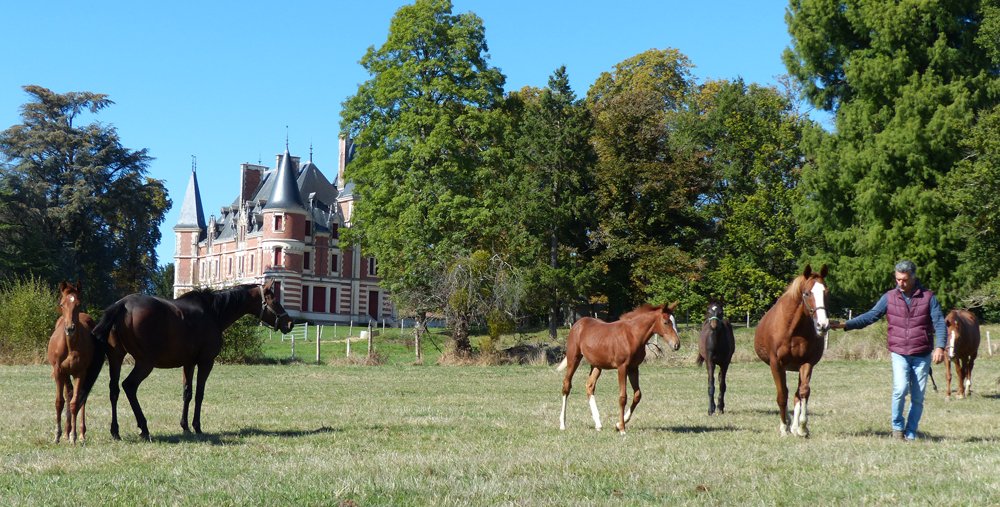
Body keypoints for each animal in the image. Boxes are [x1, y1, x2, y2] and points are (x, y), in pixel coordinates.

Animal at [45, 280, 96, 443]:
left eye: (78, 304)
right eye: (62, 304)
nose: (70, 328)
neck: (69, 345)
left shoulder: (80, 372)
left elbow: (75, 403)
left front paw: (73, 437)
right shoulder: (58, 371)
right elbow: (59, 402)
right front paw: (57, 435)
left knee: (81, 397)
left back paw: (80, 434)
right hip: (66, 374)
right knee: (68, 394)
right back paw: (66, 432)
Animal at [77, 281, 293, 441]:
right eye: (274, 299)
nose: (289, 323)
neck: (213, 312)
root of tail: (122, 305)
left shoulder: (188, 363)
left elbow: (187, 393)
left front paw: (185, 426)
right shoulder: (206, 362)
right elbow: (199, 394)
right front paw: (197, 427)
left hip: (116, 358)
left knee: (114, 390)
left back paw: (115, 431)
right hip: (144, 363)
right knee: (129, 386)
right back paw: (143, 428)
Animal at [557, 302, 681, 434]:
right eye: (666, 322)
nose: (677, 344)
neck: (632, 335)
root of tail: (578, 324)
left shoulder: (633, 368)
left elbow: (637, 395)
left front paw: (618, 424)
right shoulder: (622, 367)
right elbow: (623, 397)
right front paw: (622, 428)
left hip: (597, 365)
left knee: (589, 386)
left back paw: (598, 424)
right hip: (574, 359)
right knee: (566, 385)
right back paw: (562, 424)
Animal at [753, 265, 830, 437]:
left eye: (826, 292)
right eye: (807, 293)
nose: (822, 325)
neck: (793, 329)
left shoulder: (807, 363)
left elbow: (803, 392)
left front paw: (802, 427)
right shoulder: (776, 364)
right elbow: (782, 395)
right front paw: (783, 427)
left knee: (796, 395)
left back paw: (794, 426)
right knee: (785, 393)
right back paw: (787, 423)